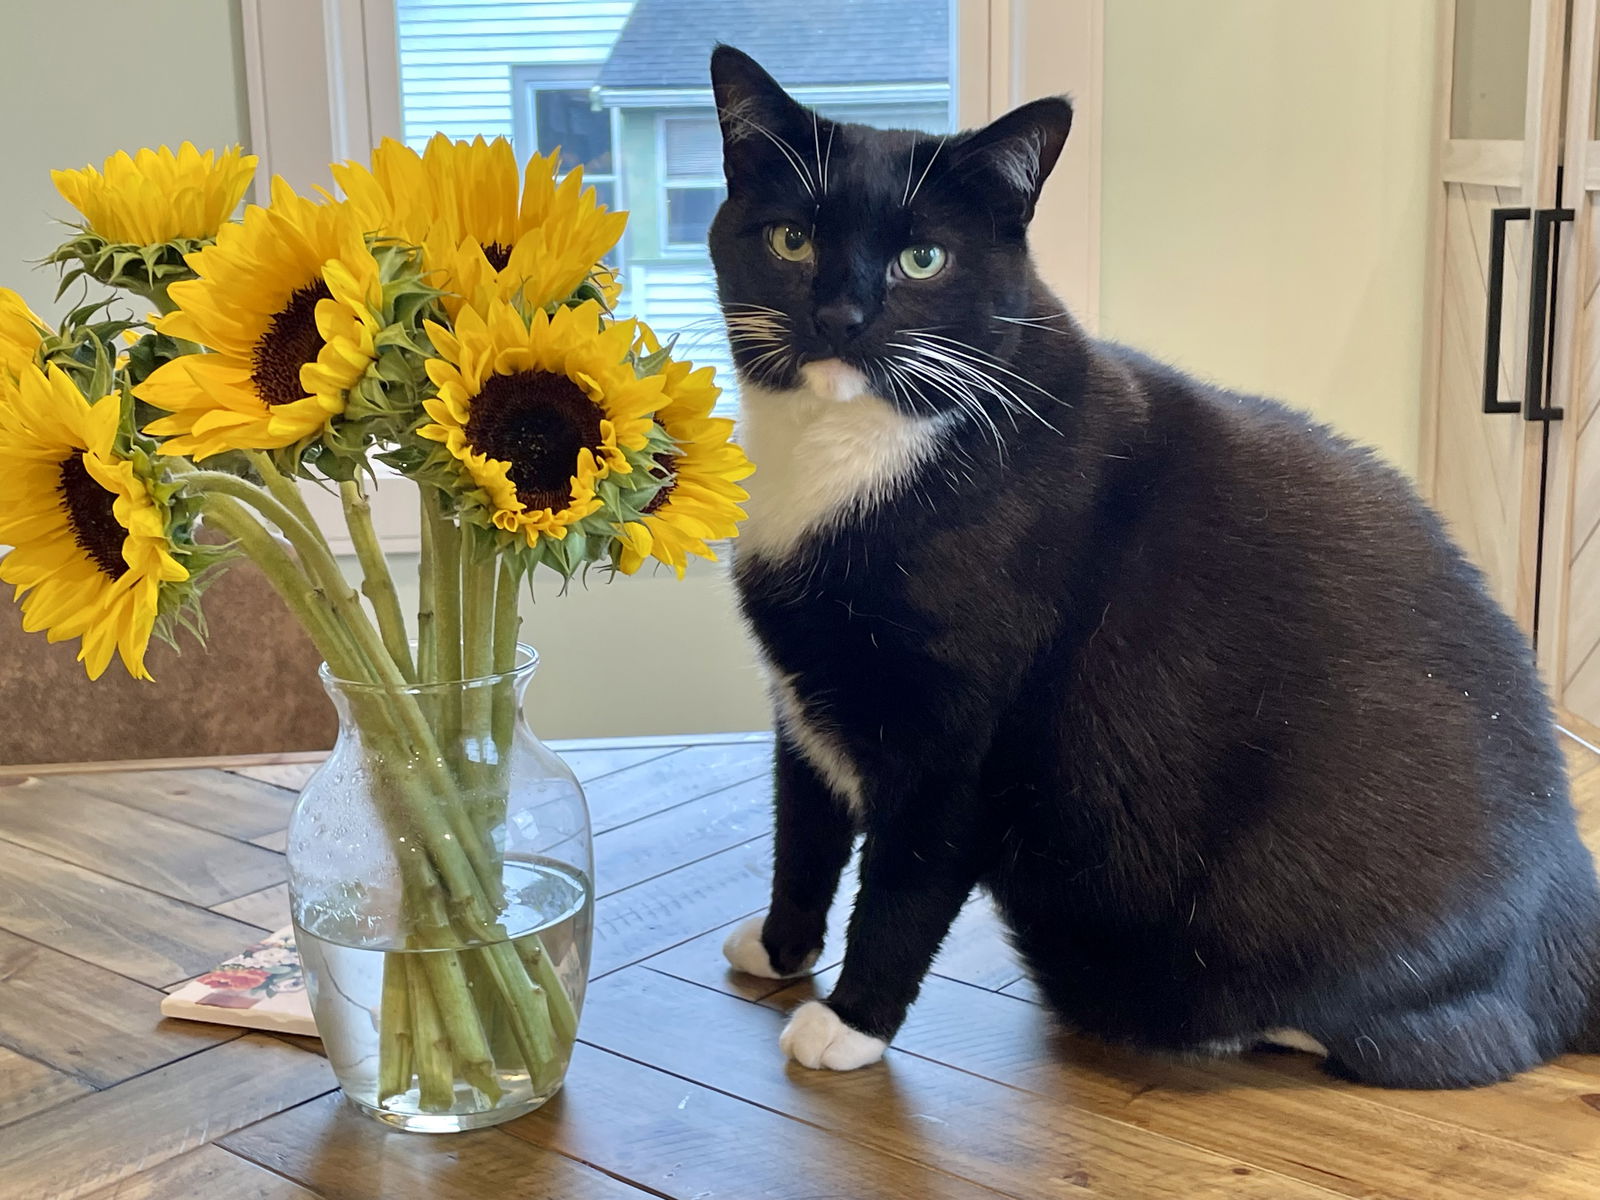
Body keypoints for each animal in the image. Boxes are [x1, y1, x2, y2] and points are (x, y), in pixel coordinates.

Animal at [710, 44, 1600, 1088]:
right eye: (790, 240)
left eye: (922, 257)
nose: (841, 315)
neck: (850, 454)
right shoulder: (805, 697)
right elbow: (802, 833)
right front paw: (781, 949)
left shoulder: (960, 740)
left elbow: (908, 876)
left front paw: (851, 1020)